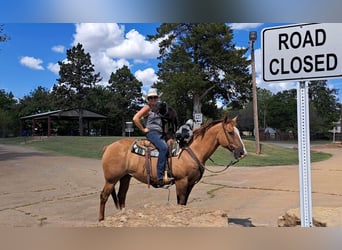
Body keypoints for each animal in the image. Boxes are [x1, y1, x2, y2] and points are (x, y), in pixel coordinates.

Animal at [98, 114, 246, 221]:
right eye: (230, 132)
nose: (242, 152)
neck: (190, 151)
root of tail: (108, 147)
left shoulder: (190, 183)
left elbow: (184, 203)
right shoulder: (181, 181)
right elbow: (180, 202)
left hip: (125, 177)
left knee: (121, 195)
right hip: (111, 180)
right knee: (104, 196)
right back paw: (101, 219)